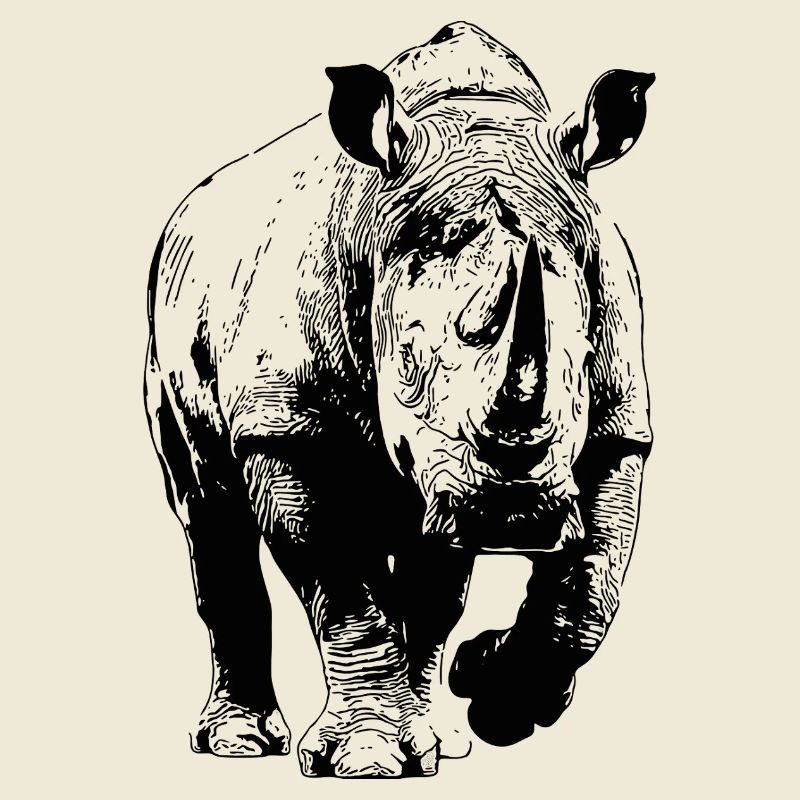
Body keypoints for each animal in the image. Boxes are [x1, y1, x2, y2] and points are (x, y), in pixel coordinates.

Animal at [144, 21, 654, 777]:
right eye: (405, 375)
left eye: (581, 368)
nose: (512, 515)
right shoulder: (288, 426)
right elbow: (344, 590)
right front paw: (368, 761)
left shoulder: (618, 422)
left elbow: (587, 589)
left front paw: (487, 693)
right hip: (166, 320)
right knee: (205, 505)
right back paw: (240, 744)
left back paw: (444, 735)